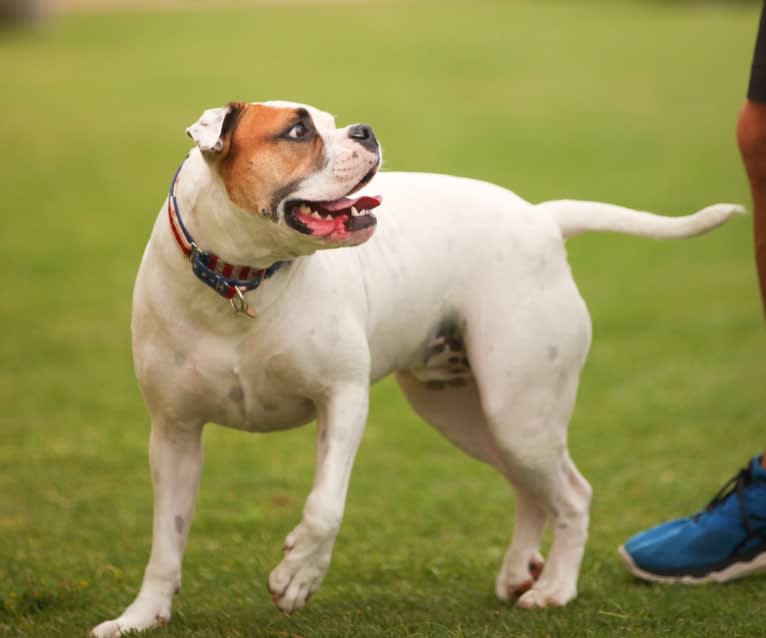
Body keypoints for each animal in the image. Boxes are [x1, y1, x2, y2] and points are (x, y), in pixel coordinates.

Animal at [91, 101, 744, 638]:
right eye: (298, 131)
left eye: (329, 122)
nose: (364, 130)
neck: (239, 280)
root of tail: (540, 219)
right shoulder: (173, 434)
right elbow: (167, 540)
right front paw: (141, 616)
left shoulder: (343, 399)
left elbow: (324, 506)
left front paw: (298, 573)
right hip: (467, 414)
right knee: (531, 489)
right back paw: (520, 572)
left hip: (520, 411)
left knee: (572, 495)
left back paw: (555, 589)